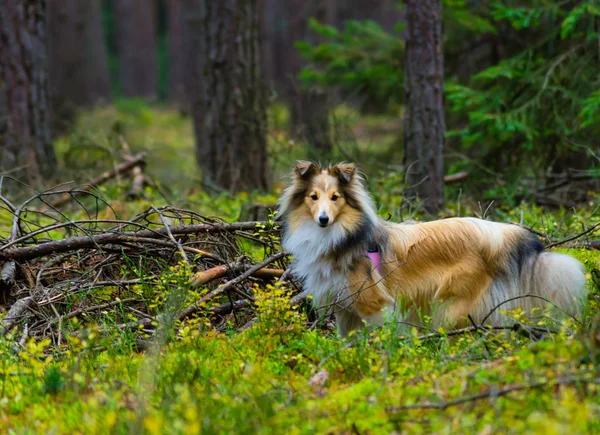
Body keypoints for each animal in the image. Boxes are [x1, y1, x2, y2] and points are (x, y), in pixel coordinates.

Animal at [278, 162, 588, 336]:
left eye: (335, 197)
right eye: (313, 197)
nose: (323, 219)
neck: (338, 237)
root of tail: (499, 233)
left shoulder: (375, 304)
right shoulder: (345, 311)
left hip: (450, 307)